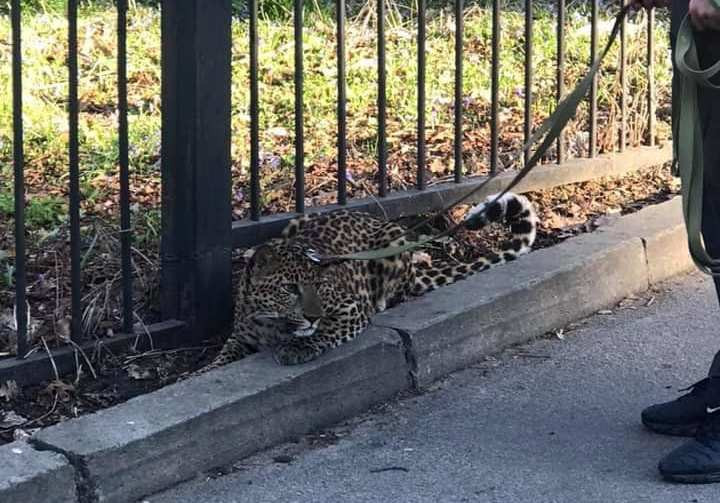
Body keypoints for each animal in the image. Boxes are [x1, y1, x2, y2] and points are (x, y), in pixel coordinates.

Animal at [194, 193, 536, 374]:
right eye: (290, 288)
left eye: (320, 284)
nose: (312, 316)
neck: (273, 323)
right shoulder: (242, 334)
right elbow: (225, 354)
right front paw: (207, 370)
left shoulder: (350, 309)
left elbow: (328, 330)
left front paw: (299, 346)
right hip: (297, 221)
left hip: (393, 241)